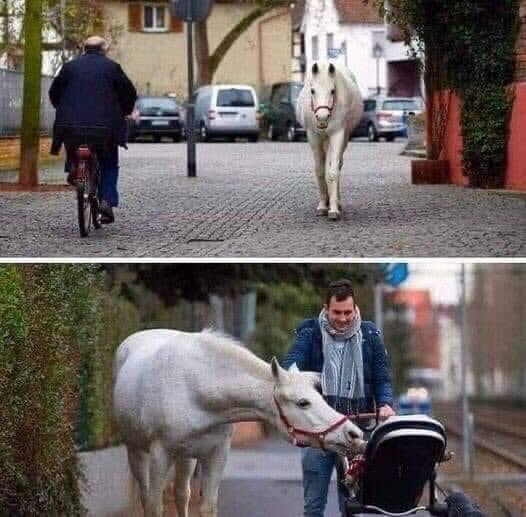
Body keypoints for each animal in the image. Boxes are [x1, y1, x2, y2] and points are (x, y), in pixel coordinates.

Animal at [300, 61, 366, 220]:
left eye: (332, 91)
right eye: (312, 91)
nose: (322, 117)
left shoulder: (337, 134)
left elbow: (333, 172)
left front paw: (334, 209)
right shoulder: (313, 136)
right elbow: (320, 171)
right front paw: (323, 206)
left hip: (342, 138)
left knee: (337, 165)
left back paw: (337, 202)